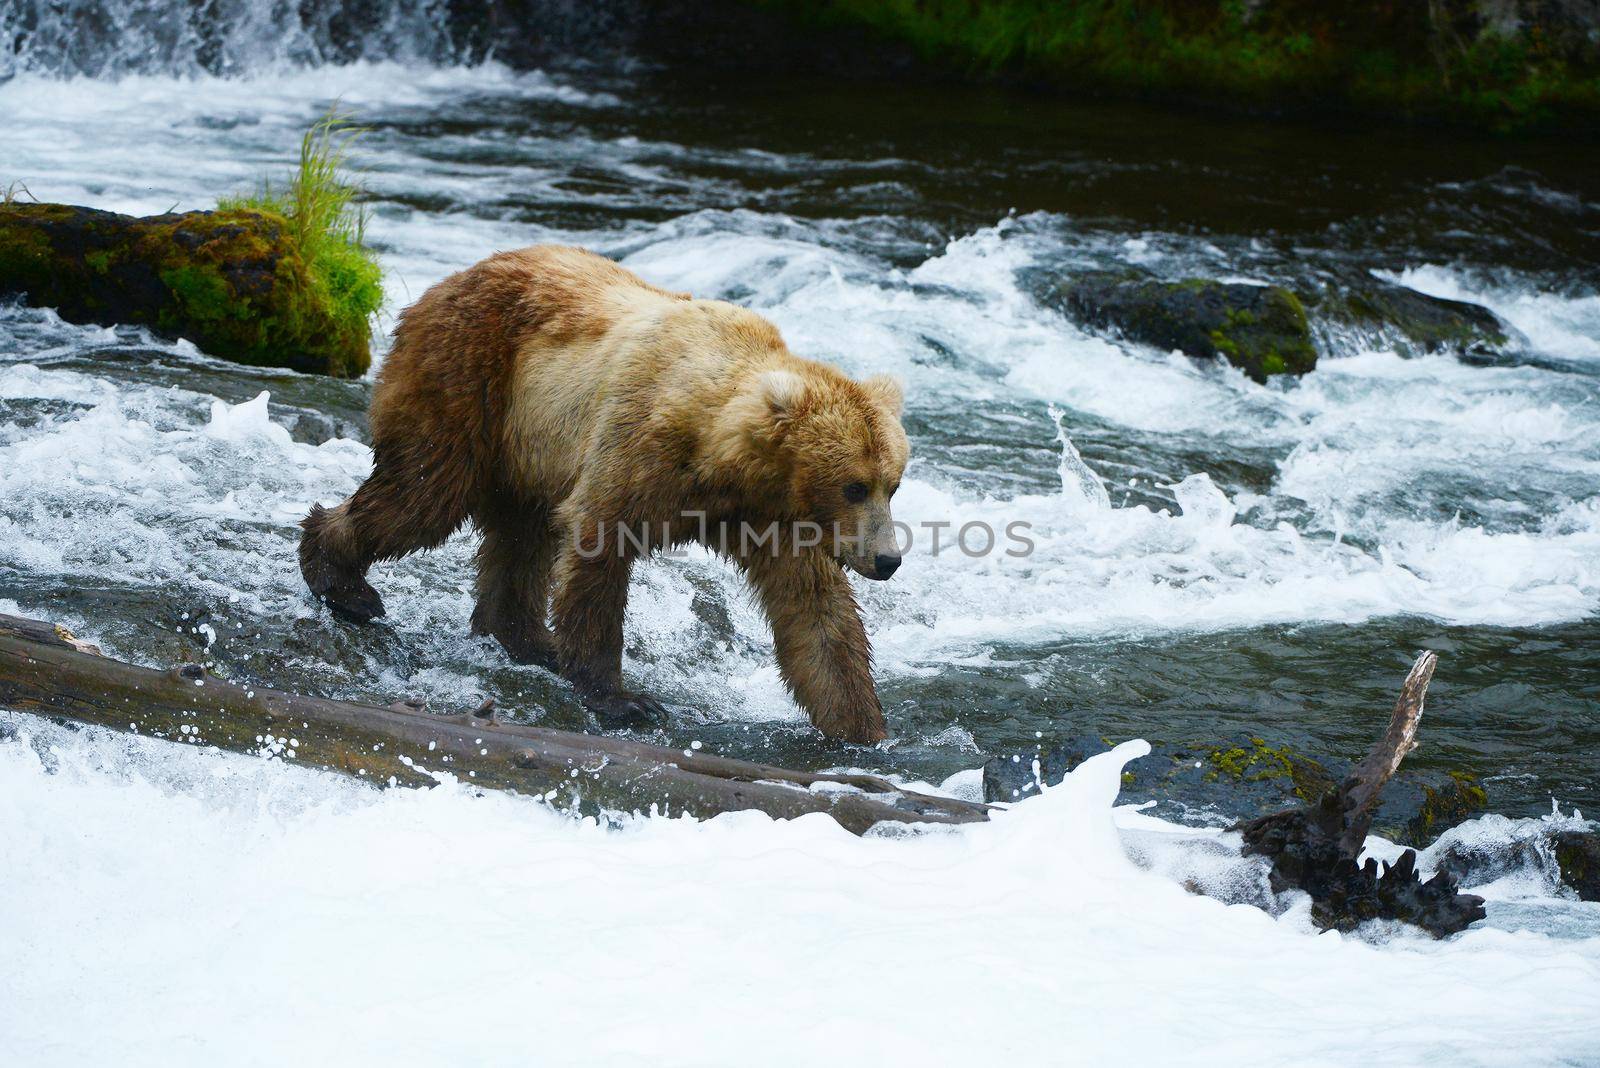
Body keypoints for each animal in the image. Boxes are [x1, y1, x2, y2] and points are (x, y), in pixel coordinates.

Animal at [296, 246, 908, 741]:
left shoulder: (771, 514)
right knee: (425, 494)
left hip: (527, 451)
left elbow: (817, 612)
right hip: (468, 378)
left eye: (892, 483)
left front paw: (865, 730)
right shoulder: (640, 448)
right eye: (854, 485)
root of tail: (441, 284)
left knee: (521, 538)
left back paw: (527, 638)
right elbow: (599, 551)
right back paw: (343, 581)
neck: (721, 458)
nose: (888, 559)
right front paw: (624, 699)